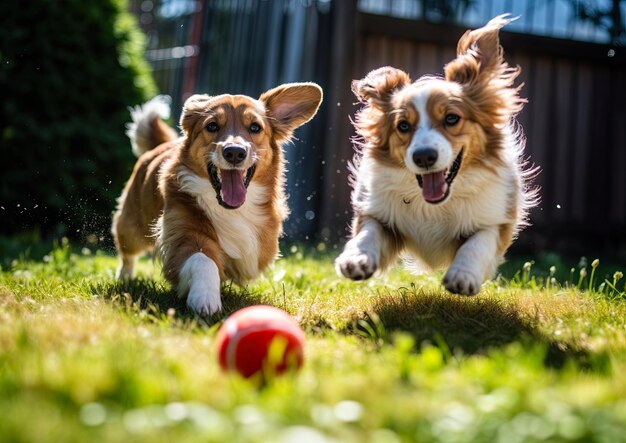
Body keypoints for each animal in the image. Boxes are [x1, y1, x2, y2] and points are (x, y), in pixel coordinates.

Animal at [110, 83, 322, 316]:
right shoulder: (184, 236)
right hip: (132, 228)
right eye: (212, 126)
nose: (235, 152)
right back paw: (124, 277)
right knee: (127, 252)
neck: (231, 209)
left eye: (255, 127)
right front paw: (205, 298)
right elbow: (204, 260)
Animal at [336, 16, 536, 294]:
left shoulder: (496, 219)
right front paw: (355, 259)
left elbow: (478, 243)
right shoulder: (380, 214)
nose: (423, 157)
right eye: (403, 126)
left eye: (451, 118)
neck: (434, 206)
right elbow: (369, 232)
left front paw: (463, 275)